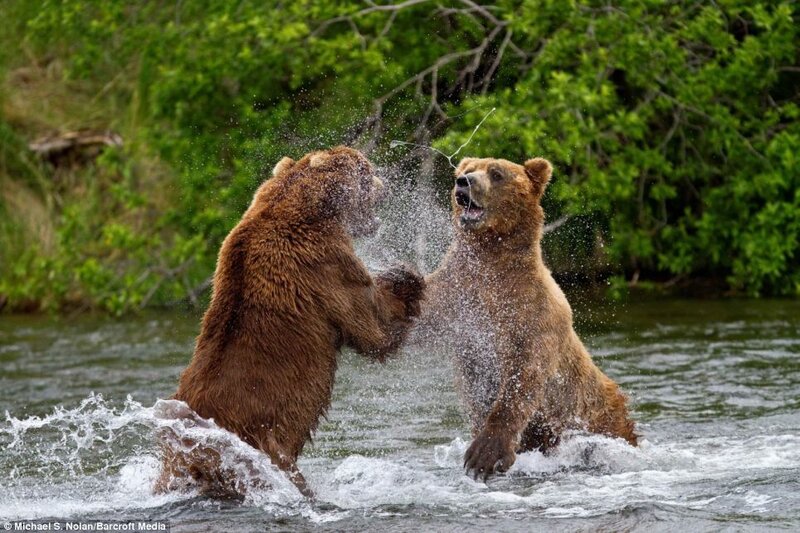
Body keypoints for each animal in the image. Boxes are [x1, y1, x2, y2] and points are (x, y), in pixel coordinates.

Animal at [156, 146, 425, 497]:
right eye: (366, 170)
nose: (386, 184)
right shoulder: (326, 266)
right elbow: (374, 326)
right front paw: (405, 277)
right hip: (264, 451)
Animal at [417, 156, 637, 481]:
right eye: (465, 169)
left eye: (496, 174)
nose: (464, 182)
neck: (491, 256)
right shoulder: (456, 295)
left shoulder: (533, 313)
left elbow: (523, 377)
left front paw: (483, 455)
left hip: (596, 415)